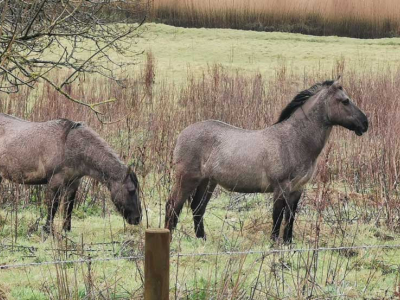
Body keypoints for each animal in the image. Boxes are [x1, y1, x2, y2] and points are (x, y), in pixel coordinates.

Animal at [0, 113, 142, 233]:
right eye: (131, 190)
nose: (137, 218)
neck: (70, 145)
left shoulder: (73, 182)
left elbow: (69, 207)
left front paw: (66, 230)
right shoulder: (55, 182)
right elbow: (53, 206)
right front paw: (47, 230)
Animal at [166, 78, 368, 243]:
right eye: (345, 100)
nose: (365, 123)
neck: (293, 140)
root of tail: (182, 134)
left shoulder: (297, 189)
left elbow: (290, 216)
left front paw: (288, 243)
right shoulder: (281, 188)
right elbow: (277, 216)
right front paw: (274, 243)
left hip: (208, 182)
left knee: (197, 208)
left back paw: (202, 239)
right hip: (187, 179)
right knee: (173, 205)